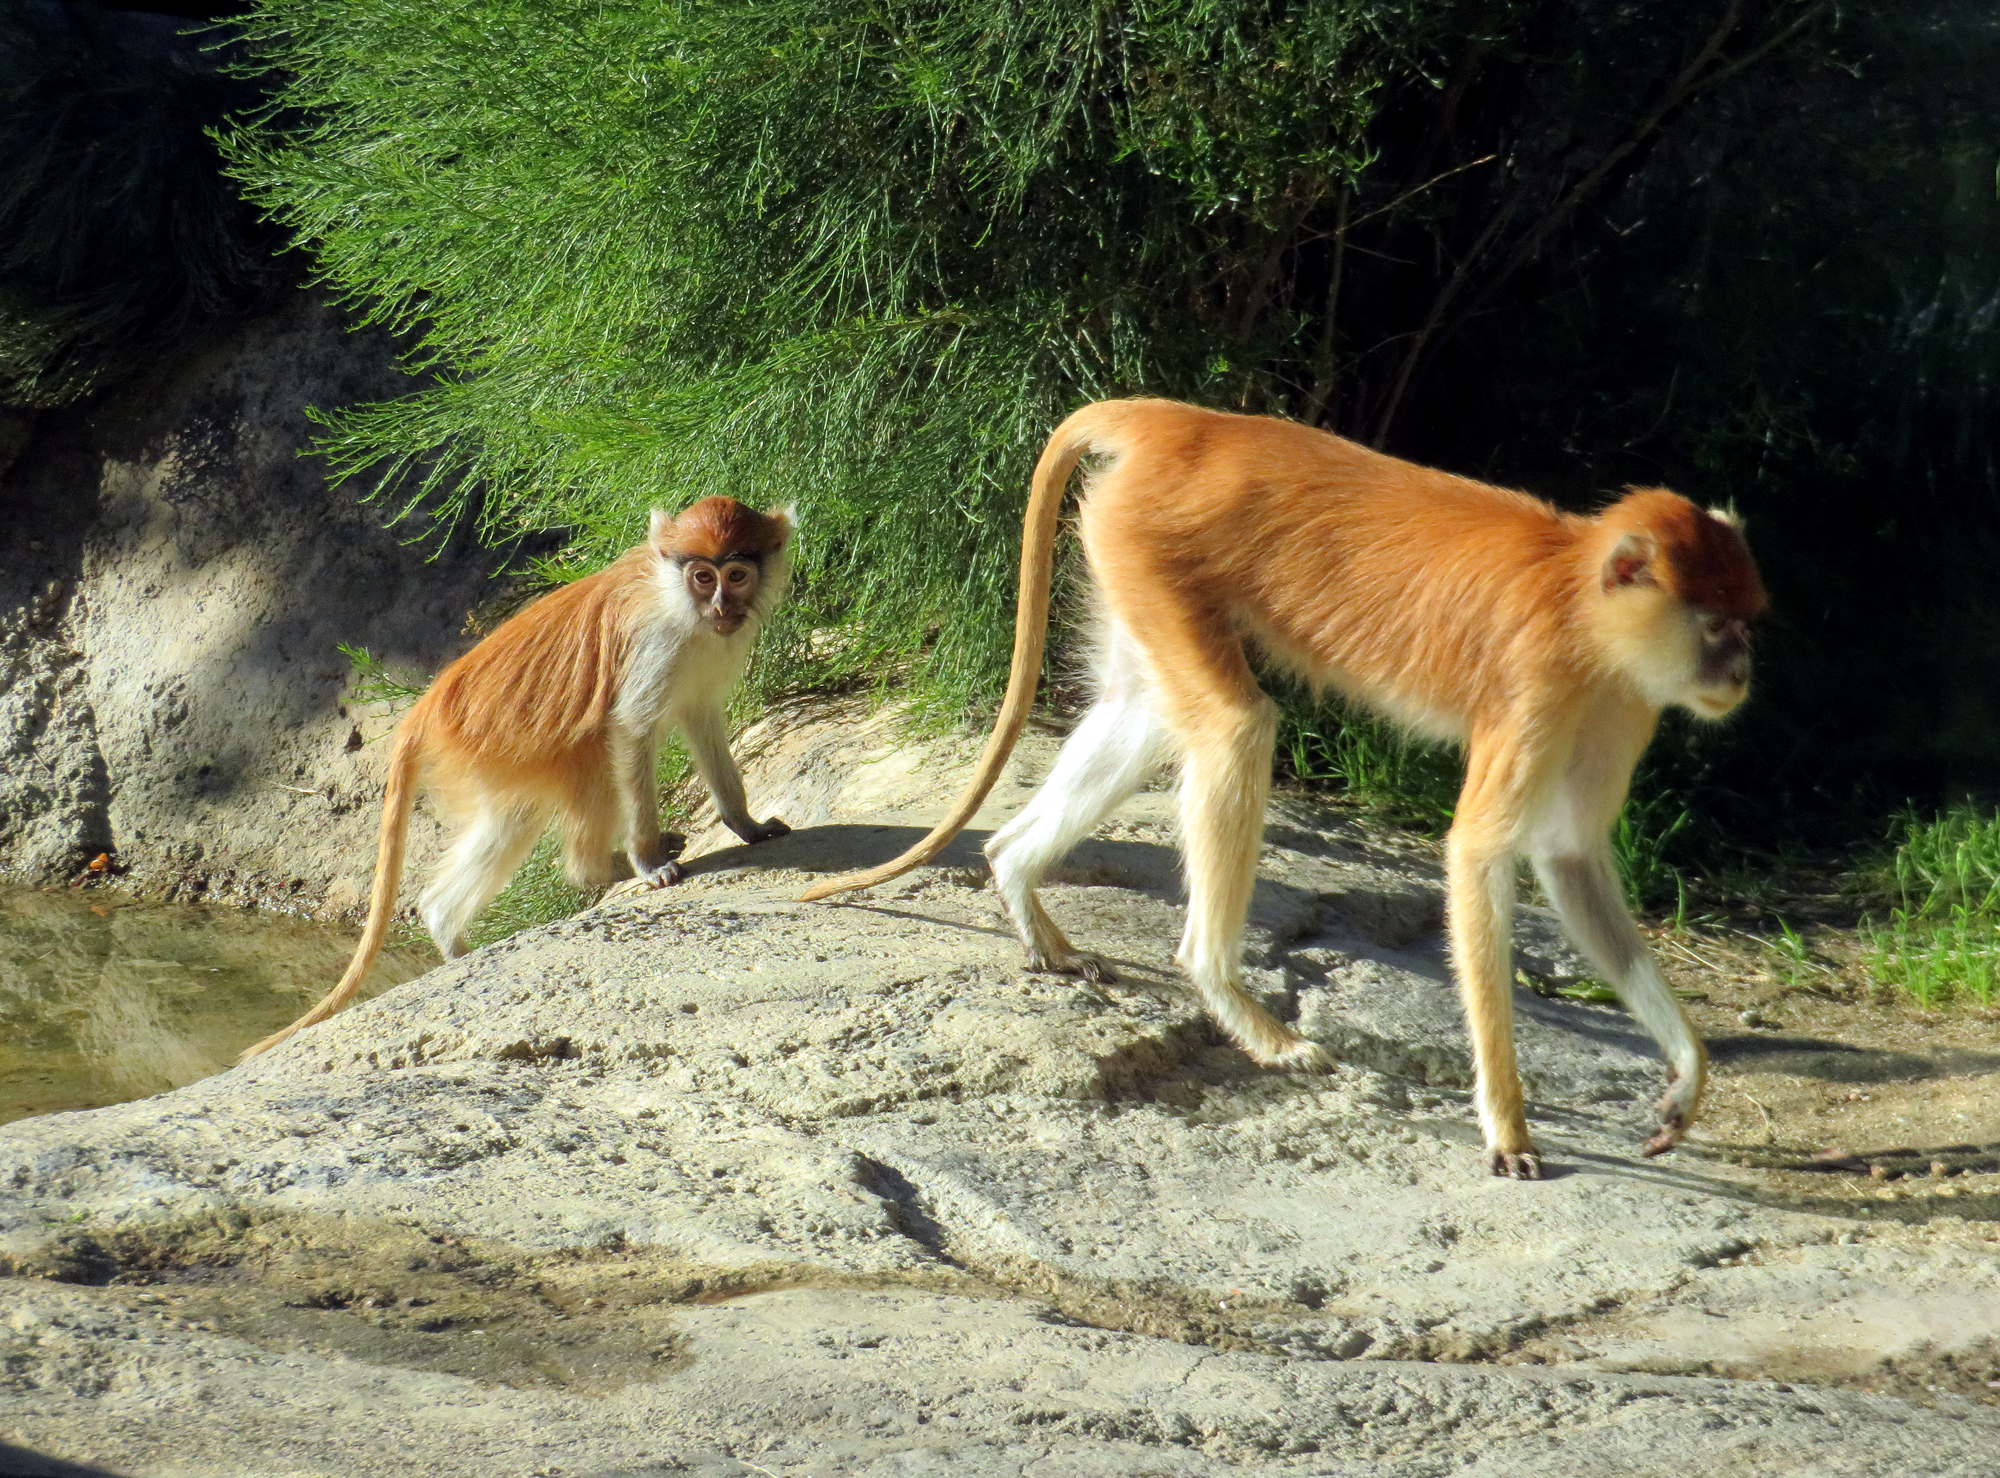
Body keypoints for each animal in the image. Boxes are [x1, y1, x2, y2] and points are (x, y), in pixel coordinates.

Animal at [241, 495, 794, 1061]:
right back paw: (590, 873)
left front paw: (746, 824)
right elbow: (631, 730)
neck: (676, 599)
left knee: (517, 815)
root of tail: (428, 705)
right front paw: (648, 861)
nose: (722, 606)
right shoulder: (657, 646)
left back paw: (444, 921)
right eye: (703, 576)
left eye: (736, 574)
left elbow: (702, 719)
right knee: (592, 763)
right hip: (497, 741)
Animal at [800, 399, 1765, 1179]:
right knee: (1235, 727)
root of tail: (1180, 422)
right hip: (1148, 541)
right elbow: (1479, 854)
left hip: (1124, 549)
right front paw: (1507, 1126)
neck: (1580, 600)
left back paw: (1011, 869)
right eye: (1717, 625)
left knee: (1145, 713)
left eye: (1747, 623)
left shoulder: (1619, 702)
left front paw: (1686, 1076)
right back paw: (1232, 1000)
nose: (1741, 672)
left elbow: (1570, 860)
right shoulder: (1539, 684)